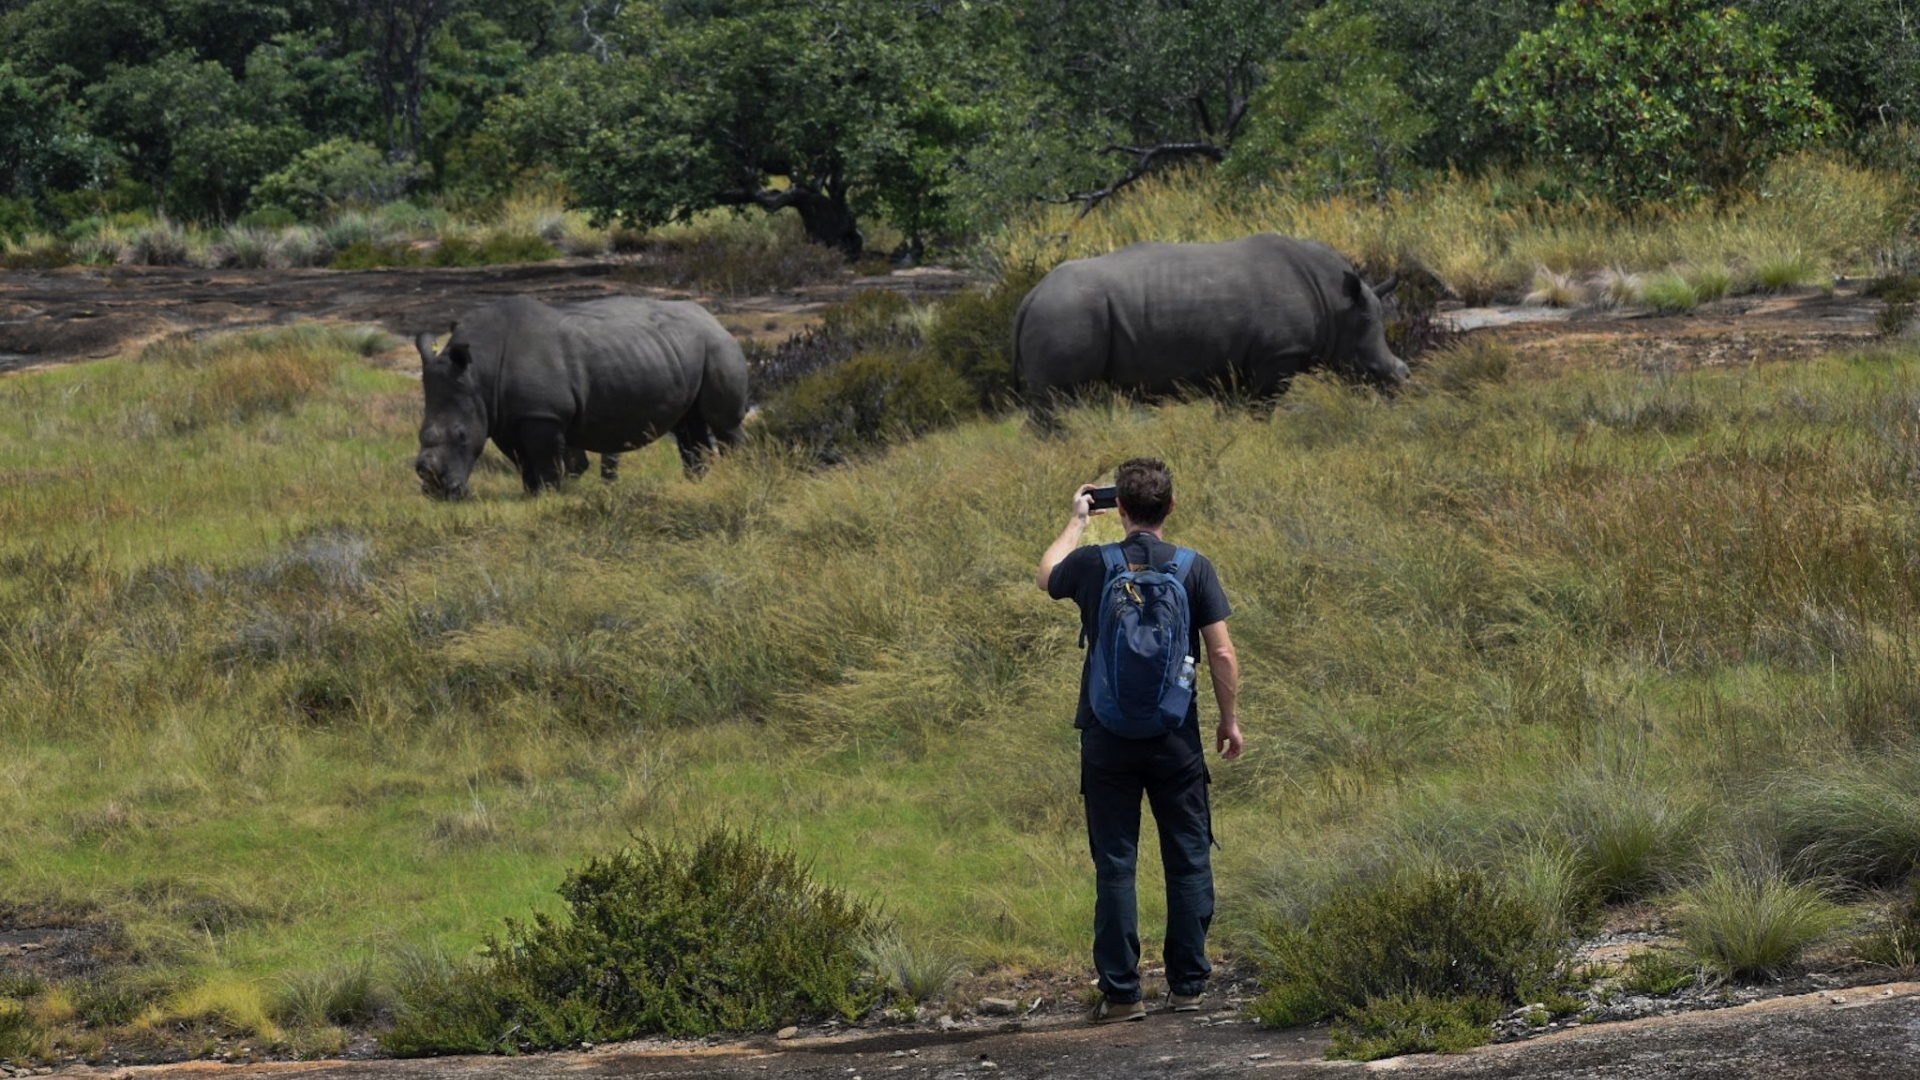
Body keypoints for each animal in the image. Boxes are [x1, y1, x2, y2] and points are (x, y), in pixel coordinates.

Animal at [414, 295, 749, 499]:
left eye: (461, 435)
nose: (438, 493)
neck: (479, 372)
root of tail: (714, 319)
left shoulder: (543, 414)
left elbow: (546, 460)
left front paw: (548, 495)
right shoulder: (505, 417)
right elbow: (522, 460)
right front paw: (530, 494)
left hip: (718, 346)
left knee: (725, 425)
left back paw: (739, 475)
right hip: (680, 351)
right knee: (688, 425)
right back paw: (699, 484)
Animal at [1014, 235, 1410, 429]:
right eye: (1371, 365)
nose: (1402, 380)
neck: (1334, 300)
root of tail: (1029, 296)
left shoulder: (1234, 364)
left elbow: (1231, 413)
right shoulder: (1279, 355)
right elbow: (1262, 408)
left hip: (1063, 311)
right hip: (1066, 312)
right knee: (1056, 400)